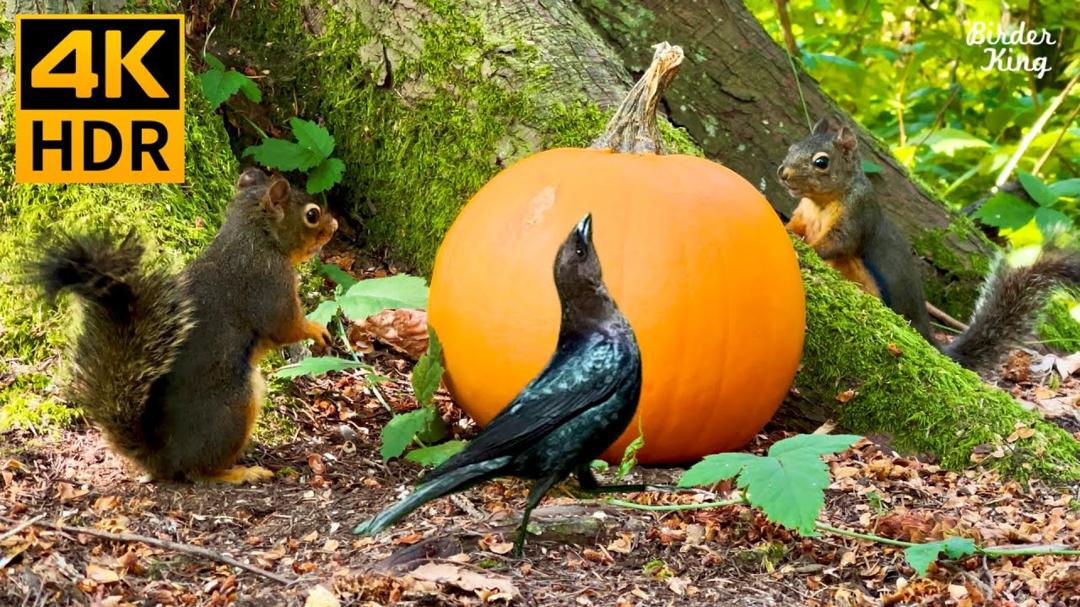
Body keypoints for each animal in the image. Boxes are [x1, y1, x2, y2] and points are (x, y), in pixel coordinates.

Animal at [31, 168, 337, 483]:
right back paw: (239, 472)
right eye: (312, 215)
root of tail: (163, 459)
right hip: (235, 407)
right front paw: (317, 330)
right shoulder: (270, 282)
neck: (252, 237)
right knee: (199, 472)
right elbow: (285, 326)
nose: (335, 226)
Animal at [777, 117, 1080, 373]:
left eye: (821, 162)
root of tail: (926, 335)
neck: (821, 203)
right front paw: (786, 230)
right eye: (791, 147)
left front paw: (808, 248)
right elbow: (796, 227)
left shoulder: (856, 216)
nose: (783, 173)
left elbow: (838, 243)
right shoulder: (803, 216)